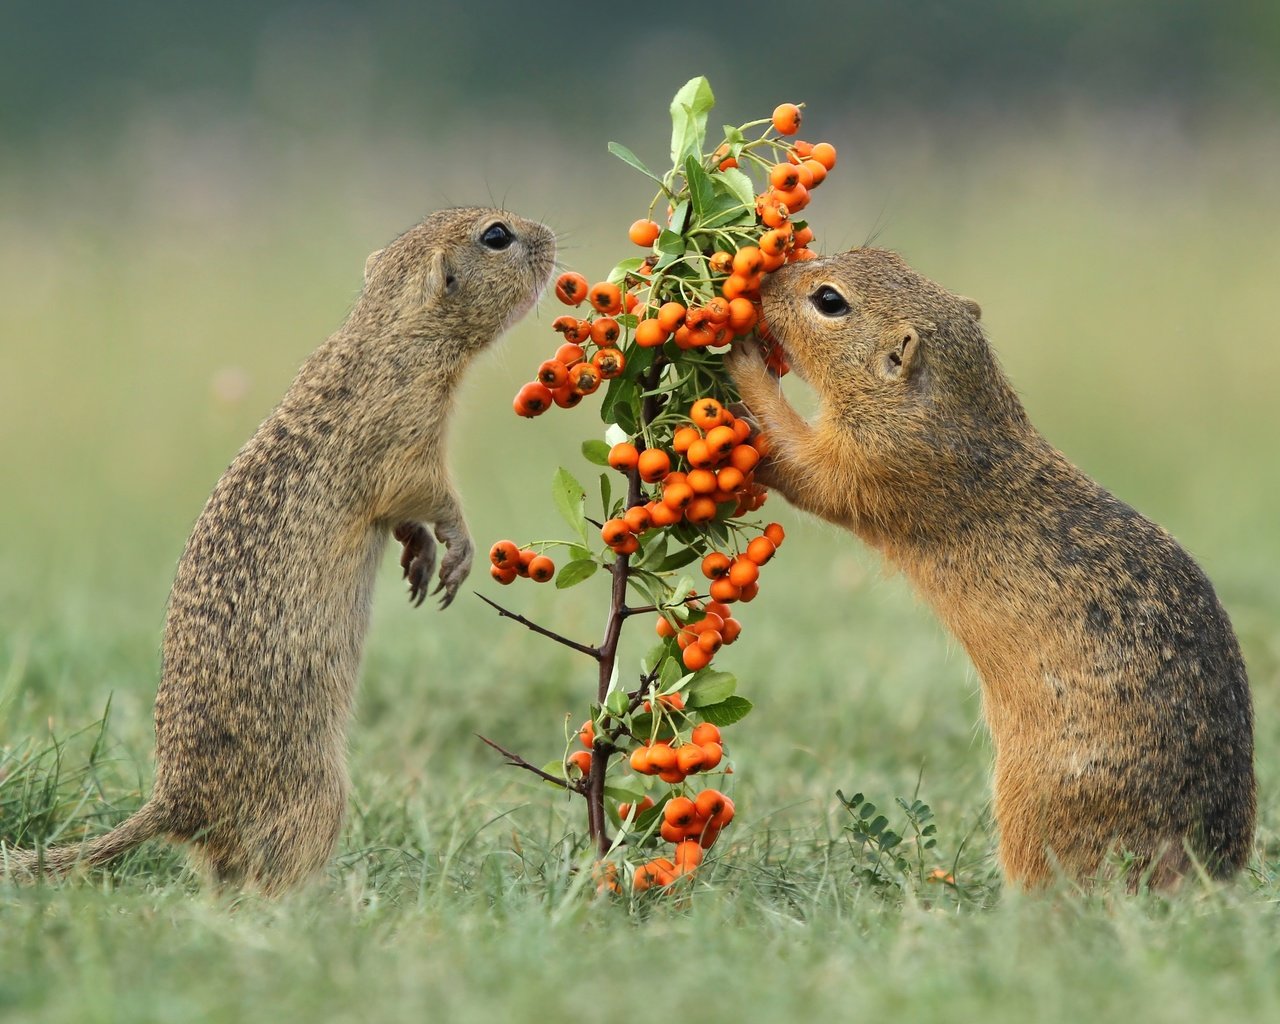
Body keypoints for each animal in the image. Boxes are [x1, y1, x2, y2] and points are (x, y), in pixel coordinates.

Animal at [3, 206, 555, 885]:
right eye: (496, 236)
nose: (550, 236)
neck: (392, 332)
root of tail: (174, 802)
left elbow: (404, 519)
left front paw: (419, 560)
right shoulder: (410, 434)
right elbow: (429, 496)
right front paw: (456, 555)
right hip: (318, 796)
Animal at [727, 248, 1254, 885]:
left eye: (829, 300)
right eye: (882, 255)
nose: (764, 282)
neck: (959, 411)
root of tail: (1204, 872)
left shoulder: (873, 461)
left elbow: (797, 458)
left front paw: (740, 363)